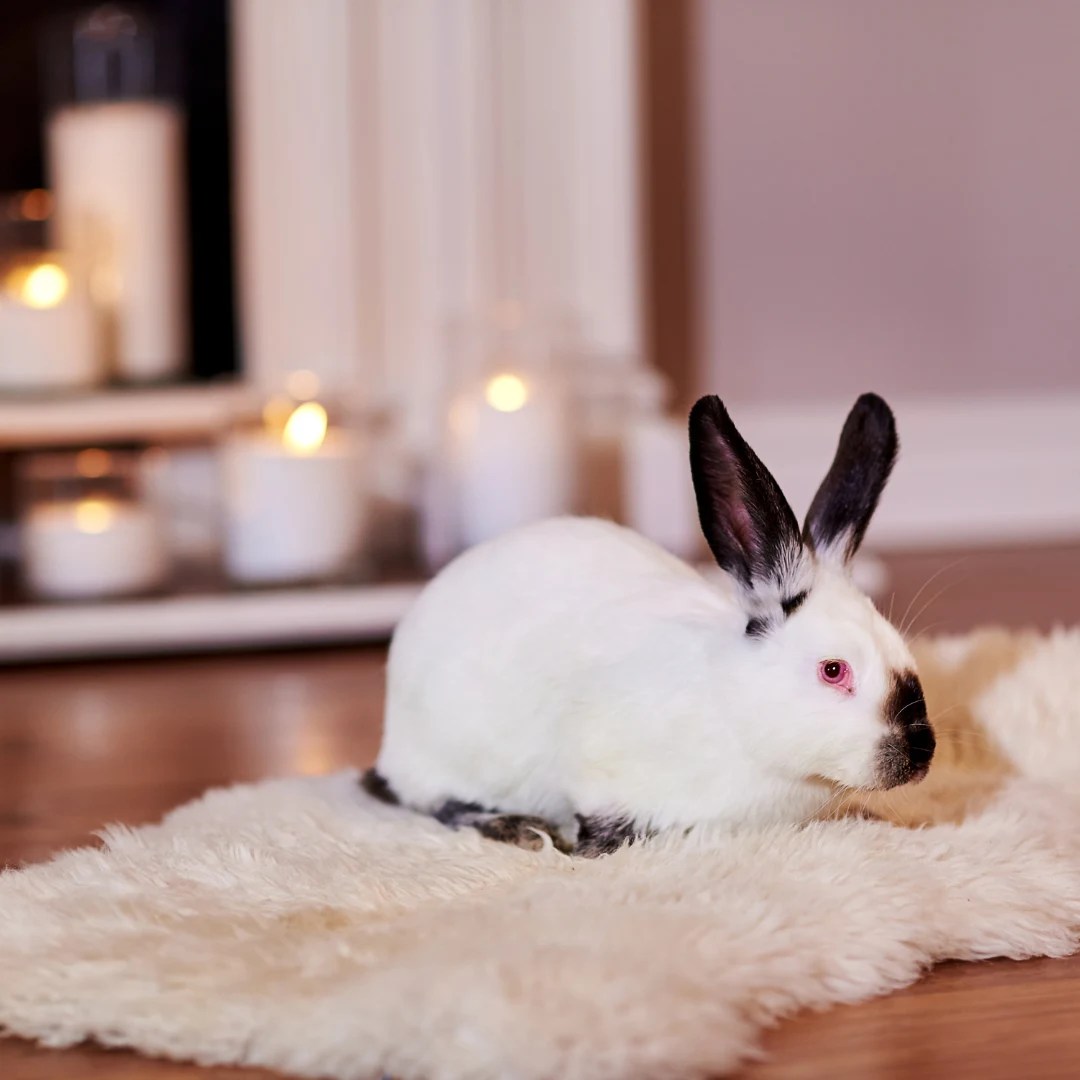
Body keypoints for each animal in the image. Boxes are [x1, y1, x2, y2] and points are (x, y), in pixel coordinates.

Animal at [363, 393, 935, 856]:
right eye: (833, 671)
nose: (921, 753)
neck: (733, 707)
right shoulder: (599, 764)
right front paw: (587, 847)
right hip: (442, 750)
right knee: (429, 800)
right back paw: (517, 826)